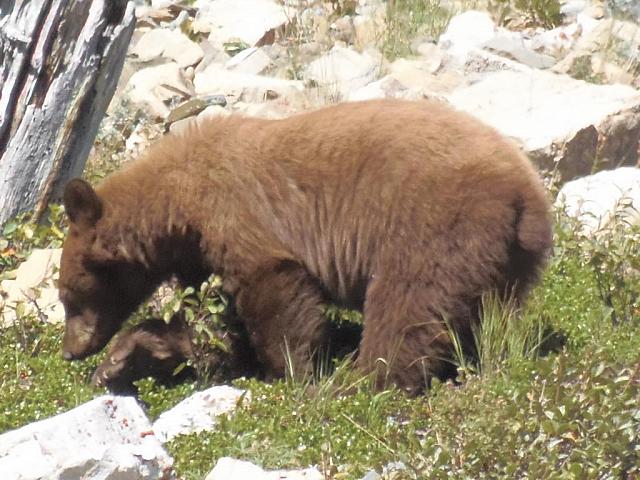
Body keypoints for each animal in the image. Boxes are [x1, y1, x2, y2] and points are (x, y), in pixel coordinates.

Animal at [57, 98, 552, 394]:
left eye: (67, 298)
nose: (70, 350)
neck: (174, 207)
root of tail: (524, 189)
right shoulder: (198, 255)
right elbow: (205, 321)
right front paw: (123, 361)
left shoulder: (234, 213)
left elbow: (272, 288)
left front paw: (289, 371)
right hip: (507, 255)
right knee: (493, 314)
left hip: (435, 222)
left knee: (406, 304)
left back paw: (367, 378)